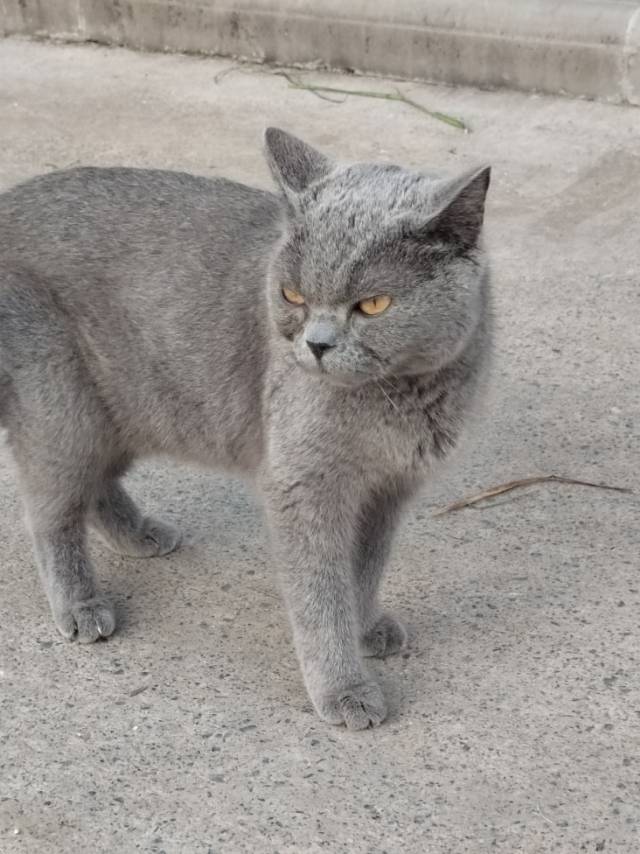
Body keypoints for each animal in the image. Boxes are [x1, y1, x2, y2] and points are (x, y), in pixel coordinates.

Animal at [0, 130, 490, 732]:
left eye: (373, 304)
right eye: (293, 295)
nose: (316, 345)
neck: (400, 398)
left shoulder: (388, 491)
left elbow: (367, 568)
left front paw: (366, 625)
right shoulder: (303, 486)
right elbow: (321, 594)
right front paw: (344, 688)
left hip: (119, 411)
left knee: (92, 484)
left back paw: (141, 535)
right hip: (59, 403)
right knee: (52, 510)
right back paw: (80, 605)